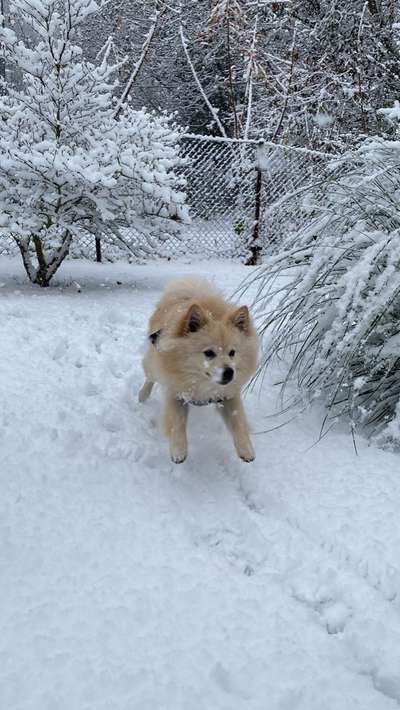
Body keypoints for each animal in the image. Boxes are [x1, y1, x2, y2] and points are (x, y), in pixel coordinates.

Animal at [139, 278, 260, 468]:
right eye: (209, 353)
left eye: (232, 352)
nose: (229, 372)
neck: (202, 385)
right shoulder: (176, 392)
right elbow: (177, 423)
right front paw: (179, 450)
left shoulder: (228, 395)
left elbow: (238, 422)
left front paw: (246, 450)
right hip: (154, 363)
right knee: (149, 377)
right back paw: (142, 395)